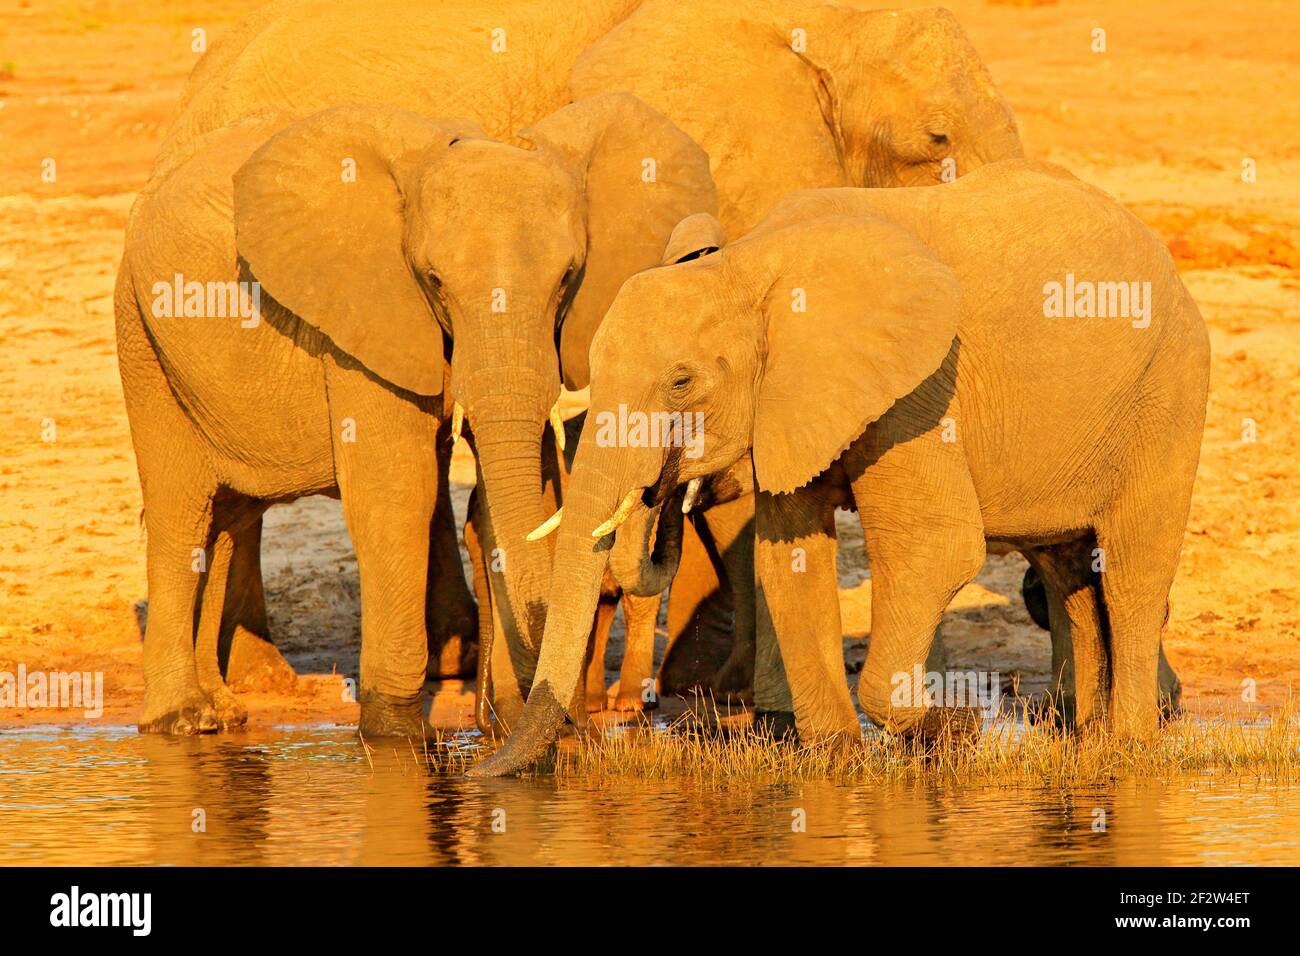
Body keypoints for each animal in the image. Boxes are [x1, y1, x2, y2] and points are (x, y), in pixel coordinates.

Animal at [116, 93, 716, 735]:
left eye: (567, 279)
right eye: (434, 280)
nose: (566, 722)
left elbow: (525, 486)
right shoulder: (363, 320)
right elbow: (398, 492)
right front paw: (397, 734)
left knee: (228, 516)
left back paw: (223, 716)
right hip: (141, 338)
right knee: (182, 509)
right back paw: (181, 720)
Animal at [471, 159, 1210, 776]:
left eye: (681, 383)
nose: (479, 773)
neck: (748, 267)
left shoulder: (919, 390)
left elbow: (936, 547)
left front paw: (951, 728)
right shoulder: (791, 400)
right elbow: (787, 558)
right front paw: (838, 759)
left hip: (1168, 388)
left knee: (1133, 567)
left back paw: (1129, 748)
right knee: (1068, 570)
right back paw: (1084, 740)